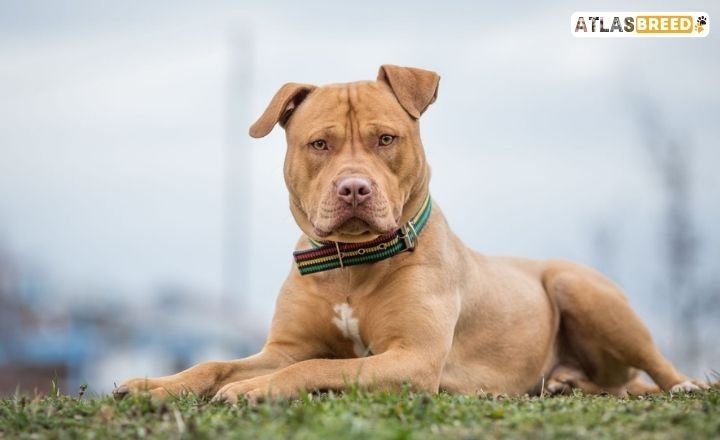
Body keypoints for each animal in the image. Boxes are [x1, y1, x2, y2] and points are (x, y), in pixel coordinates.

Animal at [115, 63, 704, 404]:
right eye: (319, 144)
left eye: (386, 138)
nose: (354, 188)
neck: (350, 264)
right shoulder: (284, 346)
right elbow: (219, 362)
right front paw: (153, 385)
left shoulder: (412, 357)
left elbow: (315, 366)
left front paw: (254, 388)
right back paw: (566, 382)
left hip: (576, 285)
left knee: (656, 368)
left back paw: (685, 385)